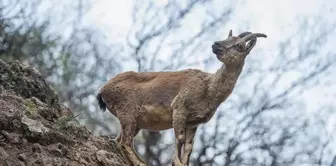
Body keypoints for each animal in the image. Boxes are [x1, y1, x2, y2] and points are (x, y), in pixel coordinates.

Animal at [97, 30, 268, 166]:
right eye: (227, 38)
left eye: (239, 46)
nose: (216, 44)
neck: (209, 89)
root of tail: (103, 90)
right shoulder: (179, 108)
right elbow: (179, 138)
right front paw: (175, 162)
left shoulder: (193, 122)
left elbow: (189, 147)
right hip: (128, 110)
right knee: (125, 143)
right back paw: (141, 163)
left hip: (134, 120)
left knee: (119, 141)